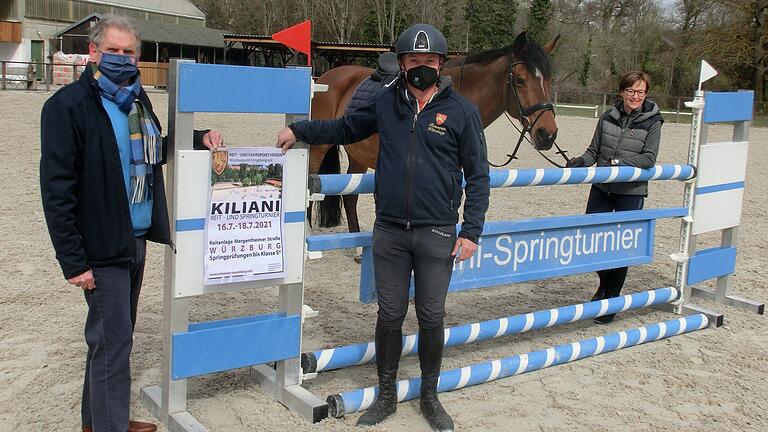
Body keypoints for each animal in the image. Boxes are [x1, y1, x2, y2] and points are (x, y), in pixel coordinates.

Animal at [310, 32, 560, 235]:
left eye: (549, 79)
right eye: (520, 80)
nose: (547, 134)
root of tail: (327, 77)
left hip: (358, 155)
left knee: (349, 197)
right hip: (318, 149)